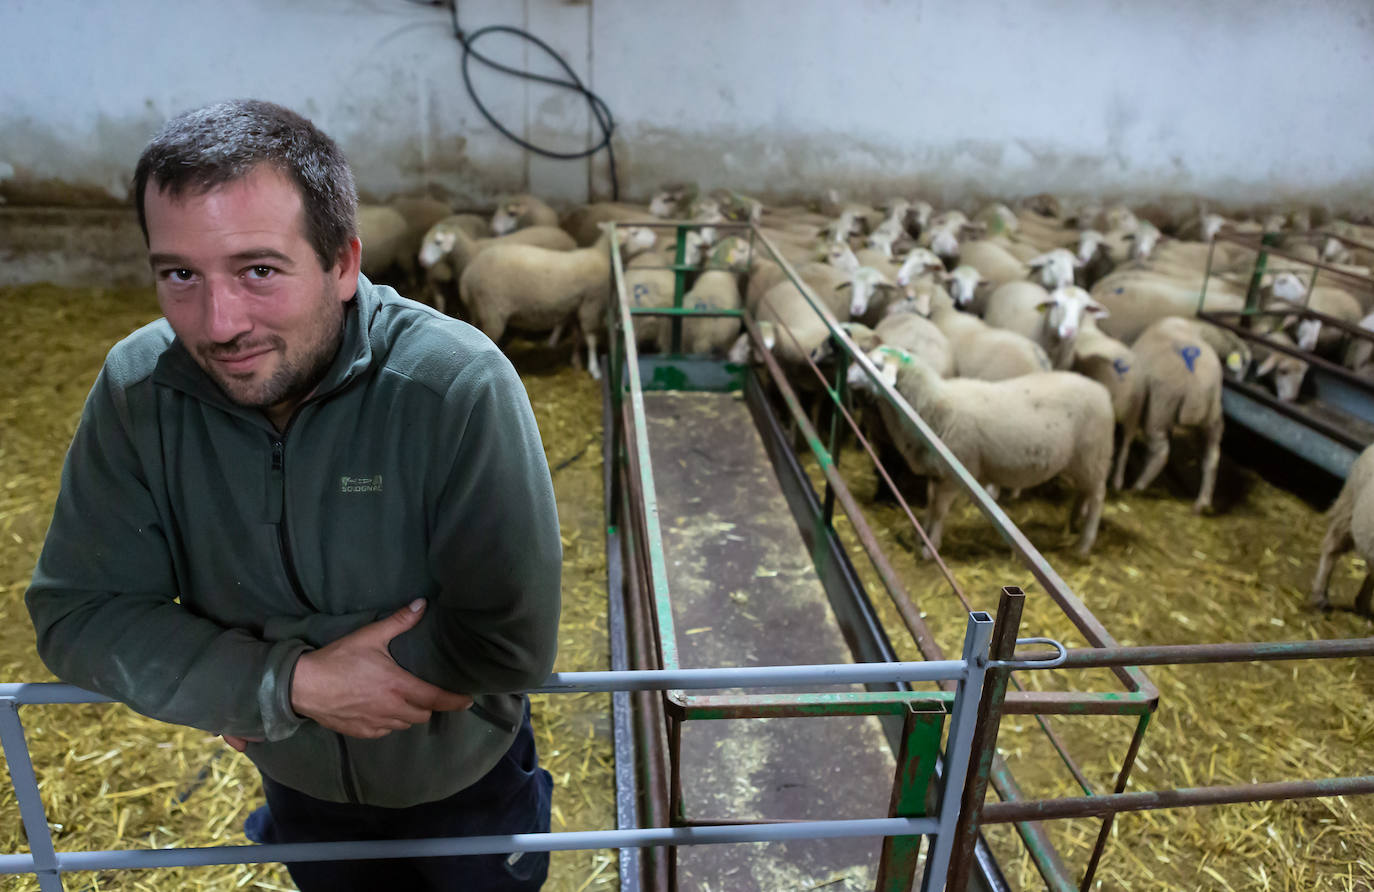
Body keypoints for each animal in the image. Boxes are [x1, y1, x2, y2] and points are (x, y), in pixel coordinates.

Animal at [458, 224, 656, 376]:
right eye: (634, 232)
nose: (655, 237)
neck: (601, 256)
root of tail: (468, 277)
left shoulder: (576, 306)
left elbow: (577, 336)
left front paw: (576, 362)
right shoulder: (591, 303)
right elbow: (590, 337)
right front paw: (594, 369)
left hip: (479, 310)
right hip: (492, 311)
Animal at [846, 344, 1115, 552]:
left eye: (876, 365)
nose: (848, 375)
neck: (931, 405)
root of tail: (1102, 391)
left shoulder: (956, 473)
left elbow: (940, 510)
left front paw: (930, 547)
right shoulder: (937, 472)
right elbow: (931, 504)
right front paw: (920, 534)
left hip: (1093, 454)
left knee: (1098, 496)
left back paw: (1084, 544)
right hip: (1083, 461)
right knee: (1085, 492)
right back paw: (1074, 521)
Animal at [1126, 314, 1225, 511]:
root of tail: (1197, 385)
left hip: (1159, 409)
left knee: (1161, 452)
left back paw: (1138, 486)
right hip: (1212, 417)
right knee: (1212, 457)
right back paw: (1201, 503)